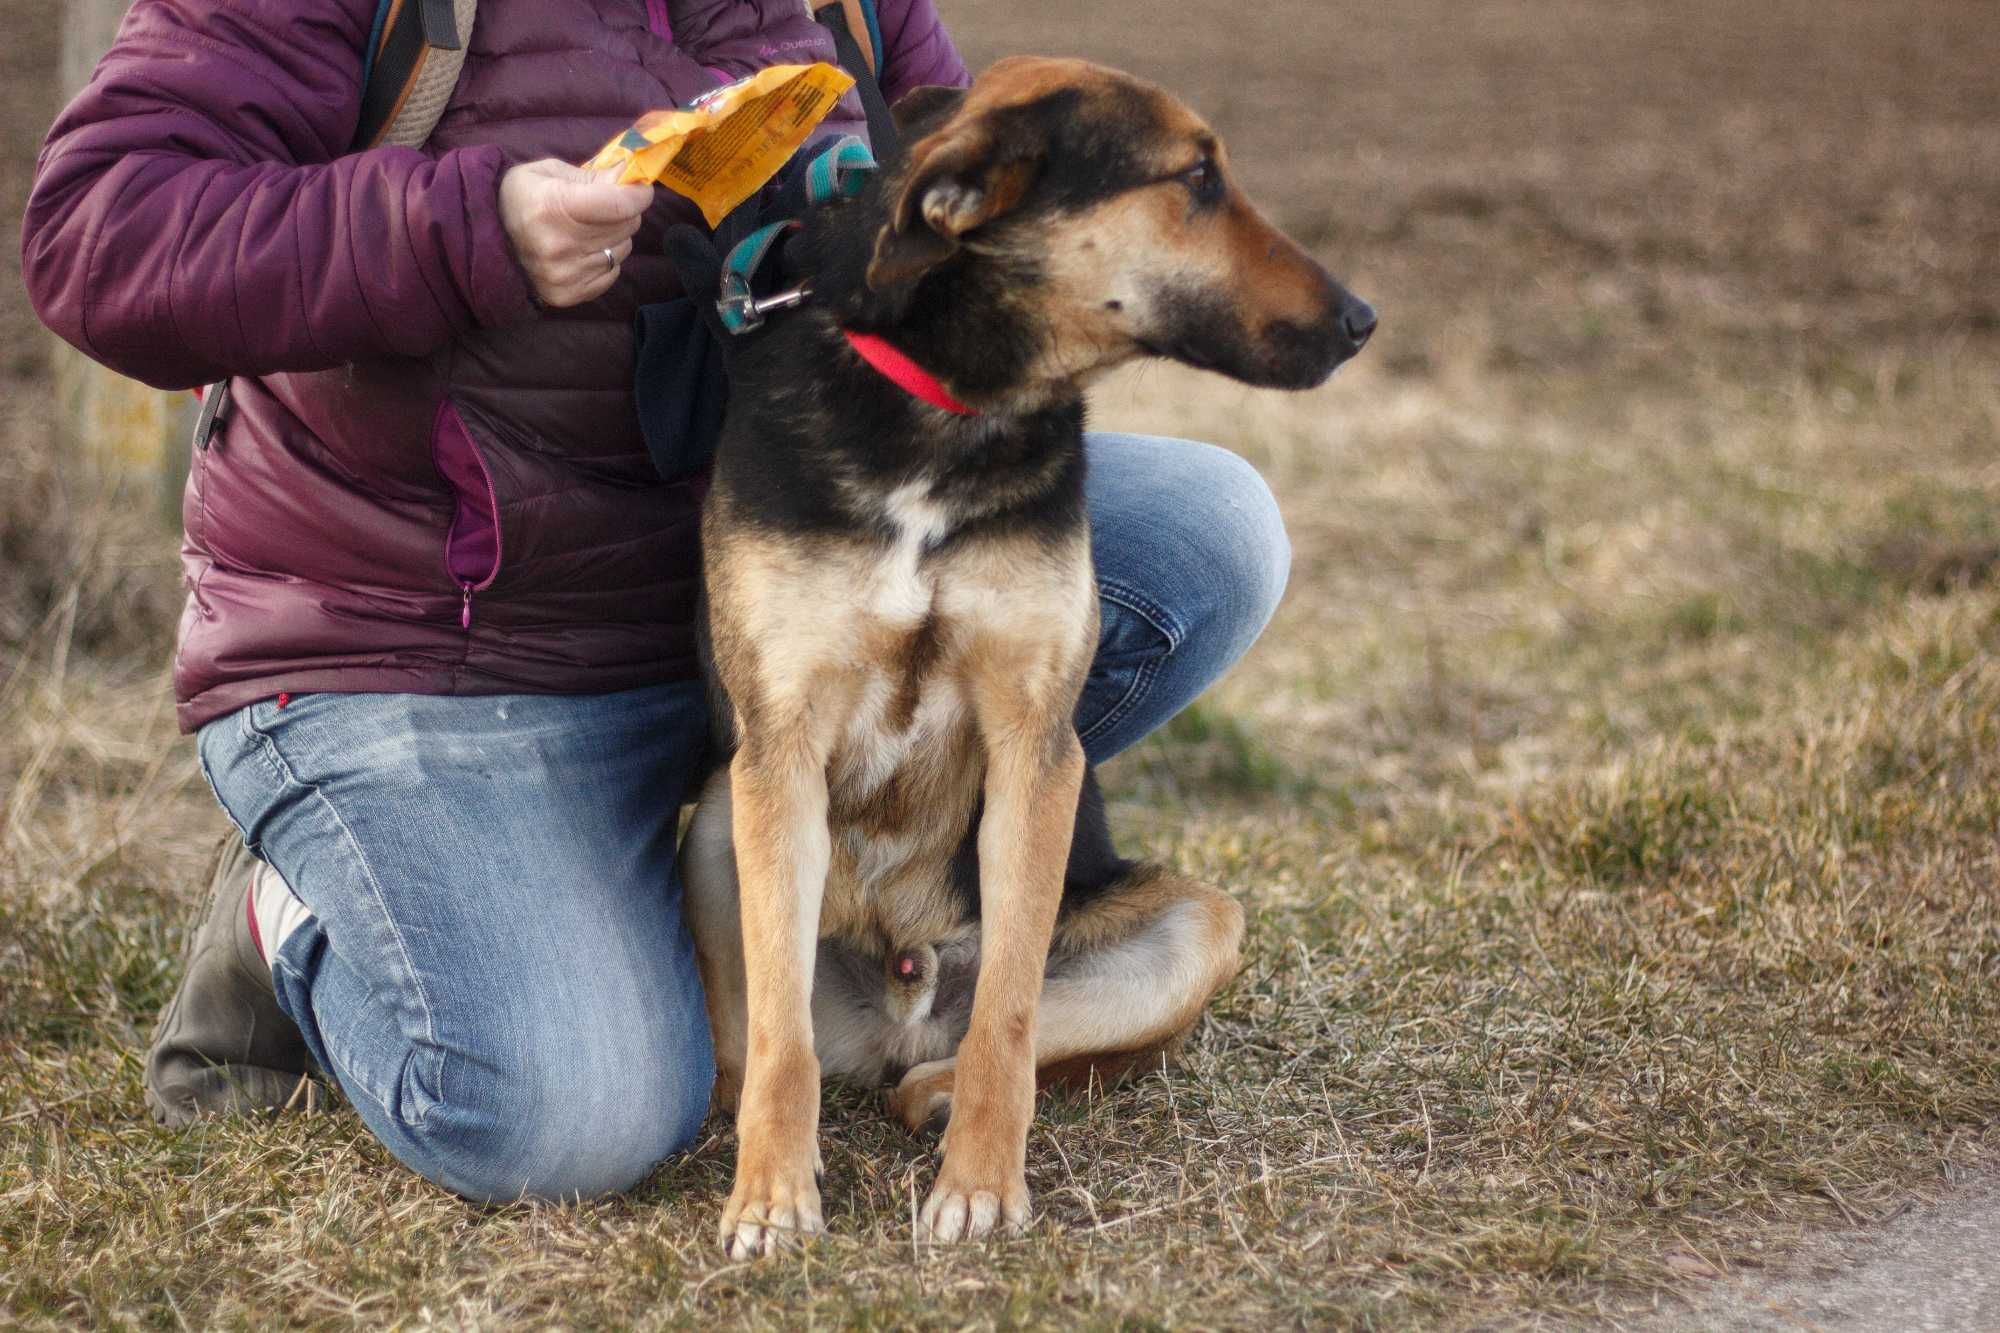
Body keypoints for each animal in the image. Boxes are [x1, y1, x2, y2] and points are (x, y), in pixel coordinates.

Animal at [676, 54, 1376, 1256]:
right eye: (1195, 178)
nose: (1363, 320)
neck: (953, 410)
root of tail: (900, 1017)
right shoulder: (779, 747)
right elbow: (777, 1035)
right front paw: (771, 1196)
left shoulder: (1032, 748)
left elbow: (1008, 1009)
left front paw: (980, 1186)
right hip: (718, 821)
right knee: (760, 1044)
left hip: (1197, 922)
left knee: (993, 1039)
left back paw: (935, 1091)